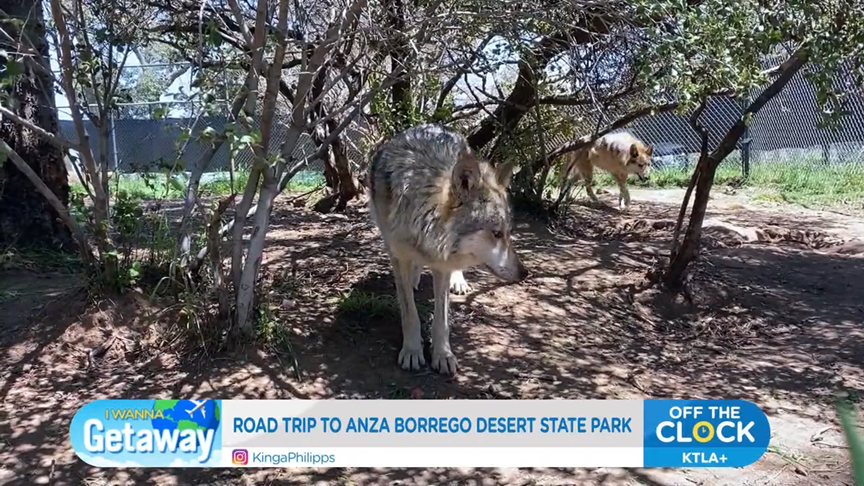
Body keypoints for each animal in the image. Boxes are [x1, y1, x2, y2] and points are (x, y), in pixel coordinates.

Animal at [366, 124, 528, 375]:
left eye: (508, 232)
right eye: (496, 233)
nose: (524, 273)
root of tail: (433, 125)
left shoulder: (442, 264)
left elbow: (441, 320)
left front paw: (442, 355)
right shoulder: (399, 256)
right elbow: (409, 313)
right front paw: (412, 350)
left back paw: (458, 281)